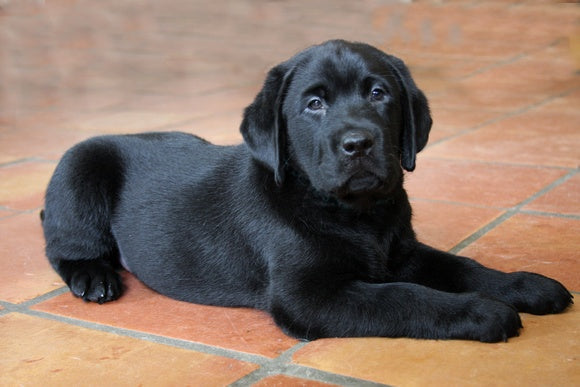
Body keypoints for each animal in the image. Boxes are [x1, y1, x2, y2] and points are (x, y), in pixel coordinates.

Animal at [42, 40, 572, 342]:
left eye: (378, 93)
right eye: (314, 104)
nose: (358, 143)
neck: (355, 214)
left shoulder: (403, 253)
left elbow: (461, 267)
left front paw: (526, 286)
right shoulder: (310, 298)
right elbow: (404, 298)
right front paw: (484, 312)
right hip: (78, 169)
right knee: (62, 247)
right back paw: (94, 278)